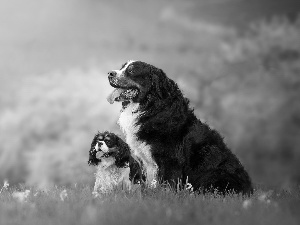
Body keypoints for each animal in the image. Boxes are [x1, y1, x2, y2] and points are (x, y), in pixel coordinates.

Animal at [106, 60, 252, 195]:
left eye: (131, 70)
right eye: (121, 67)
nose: (110, 73)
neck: (150, 108)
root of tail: (249, 191)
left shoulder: (170, 160)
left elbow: (166, 185)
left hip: (216, 175)